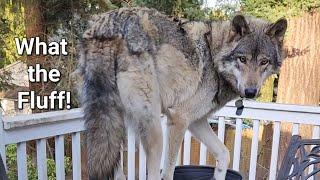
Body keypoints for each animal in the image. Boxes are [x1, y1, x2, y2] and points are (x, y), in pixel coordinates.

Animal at [78, 7, 288, 180]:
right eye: (242, 59)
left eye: (264, 62)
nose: (250, 92)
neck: (214, 58)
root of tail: (105, 27)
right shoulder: (179, 119)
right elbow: (169, 172)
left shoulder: (196, 121)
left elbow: (224, 154)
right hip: (154, 129)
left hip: (114, 125)